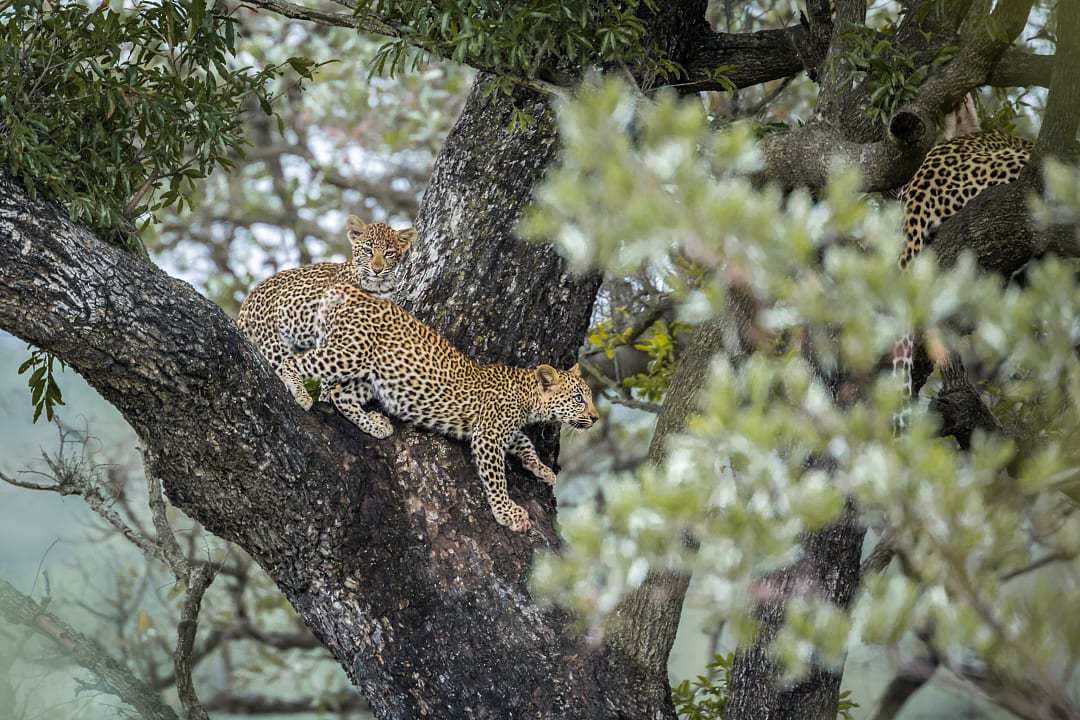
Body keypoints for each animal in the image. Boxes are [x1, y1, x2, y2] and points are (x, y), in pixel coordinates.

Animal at [236, 214, 417, 386]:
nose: (377, 270)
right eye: (368, 250)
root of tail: (247, 301)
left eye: (389, 253)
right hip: (274, 343)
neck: (378, 286)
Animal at [279, 284, 600, 533]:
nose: (596, 418)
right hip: (349, 354)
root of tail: (354, 292)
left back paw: (375, 424)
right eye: (579, 399)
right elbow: (497, 479)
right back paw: (299, 391)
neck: (528, 397)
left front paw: (542, 469)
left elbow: (525, 443)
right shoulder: (488, 436)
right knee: (294, 362)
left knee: (340, 395)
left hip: (373, 374)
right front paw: (507, 513)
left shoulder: (503, 432)